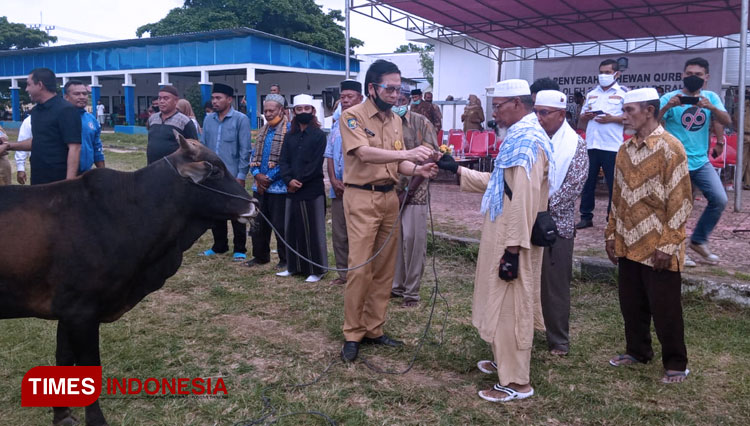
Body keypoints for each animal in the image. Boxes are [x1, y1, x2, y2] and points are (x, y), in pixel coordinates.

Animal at [0, 135, 258, 424]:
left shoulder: (67, 311)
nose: (254, 205)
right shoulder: (81, 311)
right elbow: (88, 366)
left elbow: (64, 359)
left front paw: (62, 416)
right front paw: (95, 420)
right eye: (215, 171)